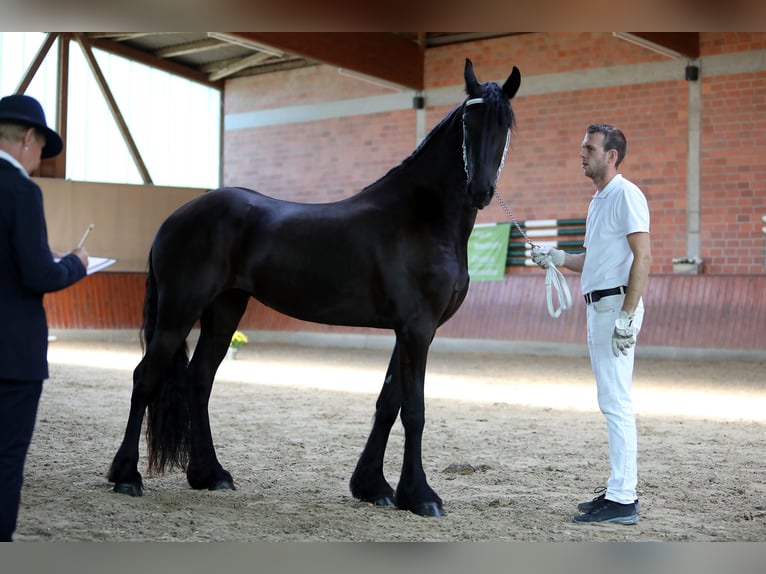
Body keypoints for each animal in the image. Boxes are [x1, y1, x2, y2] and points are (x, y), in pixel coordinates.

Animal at [108, 60, 520, 520]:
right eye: (468, 120)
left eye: (504, 123)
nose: (480, 190)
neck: (421, 217)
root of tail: (173, 219)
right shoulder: (417, 329)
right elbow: (414, 410)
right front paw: (421, 495)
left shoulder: (410, 331)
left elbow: (388, 404)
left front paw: (372, 486)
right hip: (179, 310)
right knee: (146, 377)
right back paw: (127, 476)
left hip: (224, 309)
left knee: (200, 379)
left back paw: (210, 474)